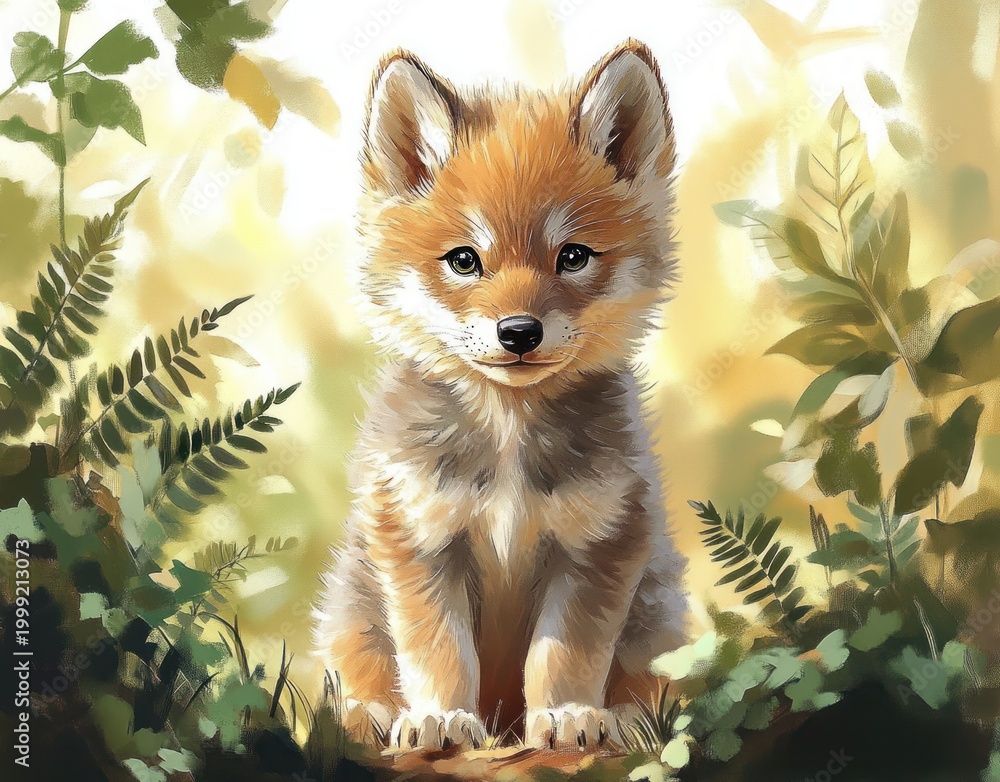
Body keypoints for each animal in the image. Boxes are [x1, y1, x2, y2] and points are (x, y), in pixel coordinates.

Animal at [313, 39, 688, 751]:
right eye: (464, 260)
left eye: (573, 256)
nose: (518, 332)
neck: (509, 433)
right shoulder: (420, 539)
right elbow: (440, 653)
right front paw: (438, 719)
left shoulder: (599, 543)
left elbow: (564, 655)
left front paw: (568, 716)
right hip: (355, 602)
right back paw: (369, 715)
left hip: (656, 609)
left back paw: (629, 718)